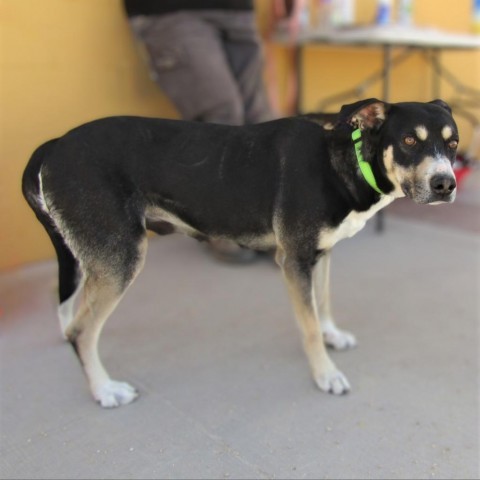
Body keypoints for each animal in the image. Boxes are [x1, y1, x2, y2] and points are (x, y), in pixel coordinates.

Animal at [21, 99, 458, 406]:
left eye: (452, 142)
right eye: (409, 141)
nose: (445, 184)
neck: (345, 162)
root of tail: (55, 145)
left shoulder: (321, 254)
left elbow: (324, 303)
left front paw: (333, 334)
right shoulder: (294, 260)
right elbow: (308, 327)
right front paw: (326, 374)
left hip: (93, 257)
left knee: (69, 311)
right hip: (120, 259)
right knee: (81, 331)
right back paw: (104, 390)